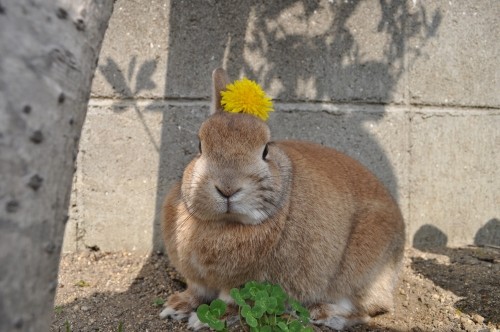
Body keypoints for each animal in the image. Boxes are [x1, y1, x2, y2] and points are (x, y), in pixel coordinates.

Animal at [160, 68, 406, 330]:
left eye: (265, 150)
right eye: (200, 146)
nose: (227, 188)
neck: (224, 224)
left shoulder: (242, 283)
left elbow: (230, 301)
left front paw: (205, 320)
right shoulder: (199, 280)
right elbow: (196, 291)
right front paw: (175, 306)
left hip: (360, 273)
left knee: (371, 310)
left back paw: (325, 314)